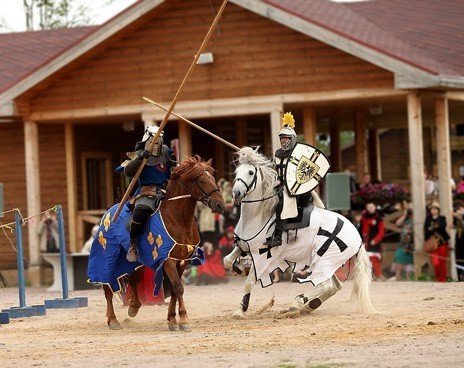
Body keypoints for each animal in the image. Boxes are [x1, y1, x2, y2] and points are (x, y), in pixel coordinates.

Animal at [103, 156, 225, 330]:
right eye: (202, 180)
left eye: (213, 179)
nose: (220, 205)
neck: (178, 219)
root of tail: (107, 213)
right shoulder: (167, 260)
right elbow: (178, 287)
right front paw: (183, 320)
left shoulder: (182, 261)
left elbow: (174, 289)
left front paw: (173, 319)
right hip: (108, 258)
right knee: (107, 287)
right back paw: (113, 319)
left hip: (132, 263)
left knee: (133, 280)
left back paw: (133, 307)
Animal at [225, 147, 376, 320]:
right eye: (237, 171)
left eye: (250, 172)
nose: (236, 193)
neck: (259, 216)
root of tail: (358, 237)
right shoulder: (243, 246)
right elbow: (227, 260)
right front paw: (237, 269)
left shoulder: (262, 257)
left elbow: (249, 282)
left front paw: (240, 310)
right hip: (325, 263)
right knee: (334, 285)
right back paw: (308, 306)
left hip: (324, 260)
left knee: (326, 284)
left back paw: (297, 303)